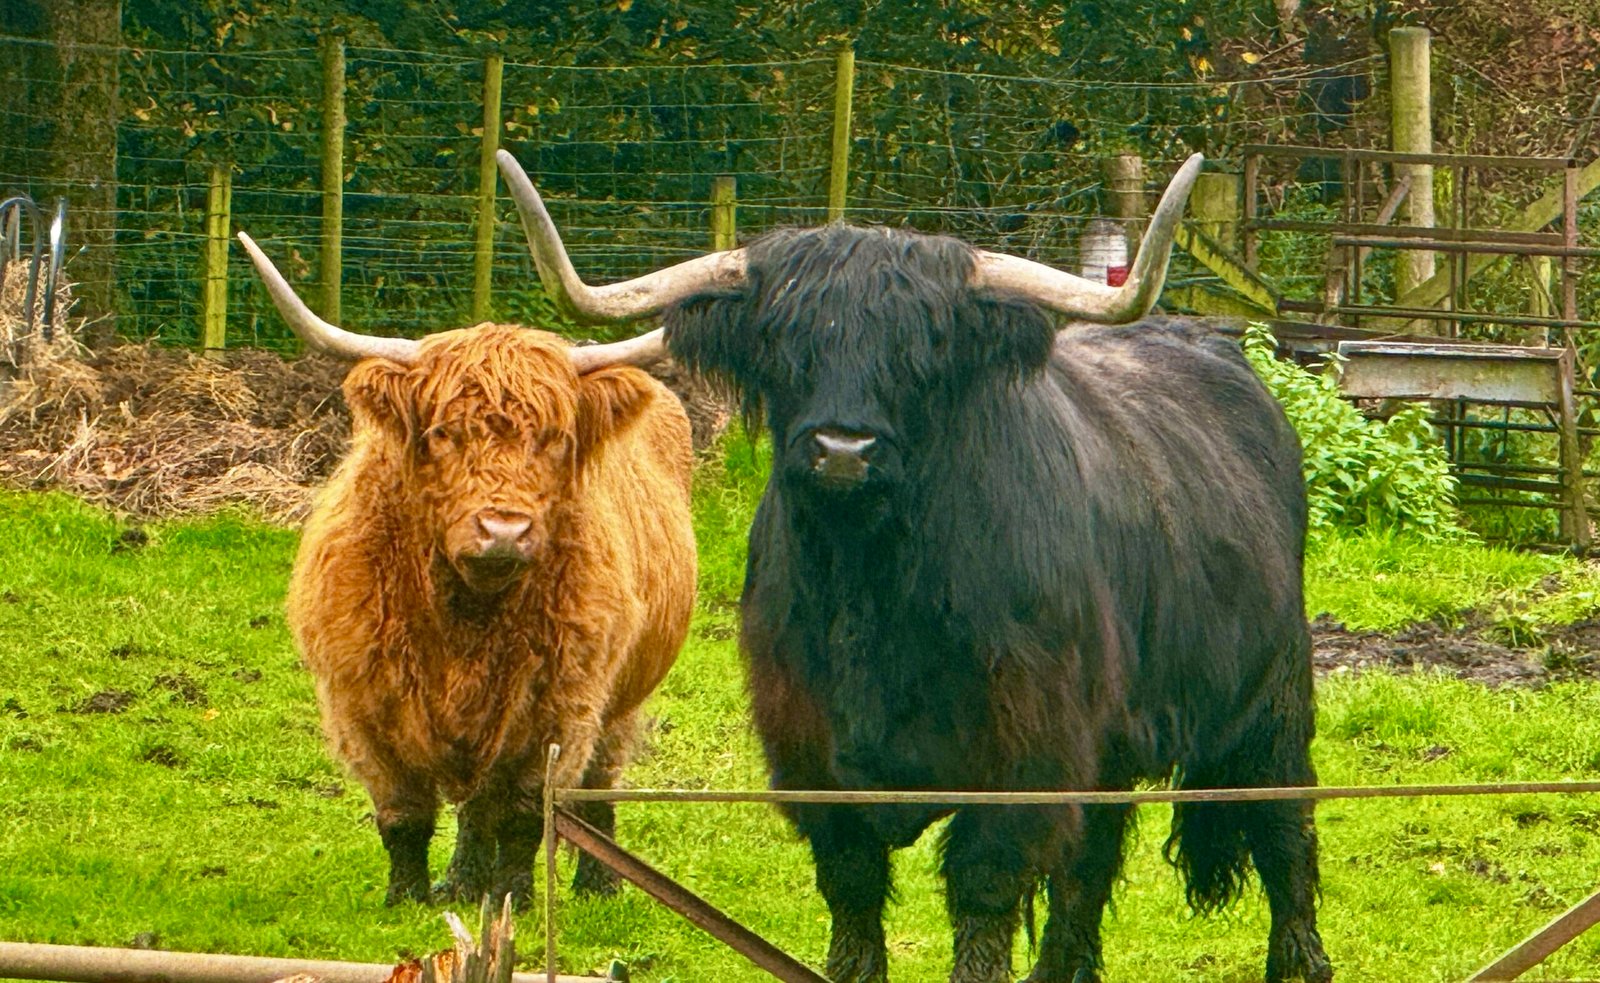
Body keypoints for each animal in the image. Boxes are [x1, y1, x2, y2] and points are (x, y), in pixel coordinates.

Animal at [235, 230, 697, 907]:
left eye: (555, 437)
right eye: (443, 433)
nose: (503, 530)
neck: (465, 616)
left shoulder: (559, 707)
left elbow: (527, 815)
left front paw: (513, 898)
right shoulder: (362, 704)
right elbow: (403, 815)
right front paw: (407, 898)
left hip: (622, 696)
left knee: (594, 784)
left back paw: (597, 883)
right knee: (477, 807)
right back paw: (461, 883)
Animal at [495, 150, 1332, 983]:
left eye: (921, 350)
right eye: (786, 342)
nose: (843, 448)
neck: (872, 587)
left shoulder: (1024, 756)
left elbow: (984, 890)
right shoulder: (808, 751)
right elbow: (853, 890)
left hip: (1274, 697)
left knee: (1284, 827)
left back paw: (1300, 960)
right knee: (1092, 859)